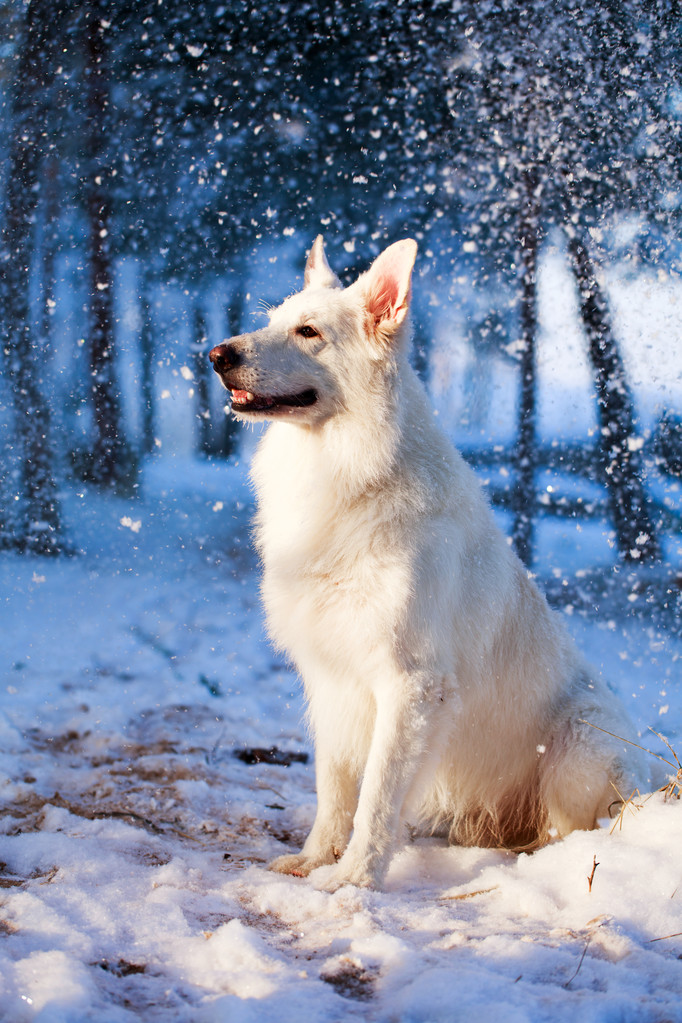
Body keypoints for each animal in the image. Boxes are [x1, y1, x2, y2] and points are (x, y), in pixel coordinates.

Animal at [209, 237, 642, 887]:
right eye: (272, 320)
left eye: (308, 332)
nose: (216, 355)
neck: (352, 473)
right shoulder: (330, 682)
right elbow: (334, 790)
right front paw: (314, 861)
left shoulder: (410, 687)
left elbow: (376, 799)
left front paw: (353, 880)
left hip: (581, 746)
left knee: (585, 825)